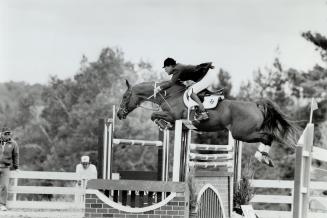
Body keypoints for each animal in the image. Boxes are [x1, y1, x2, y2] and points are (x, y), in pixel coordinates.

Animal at [117, 80, 300, 167]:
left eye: (125, 97)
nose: (119, 114)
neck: (169, 94)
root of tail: (255, 105)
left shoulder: (172, 116)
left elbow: (153, 115)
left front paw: (162, 124)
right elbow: (156, 117)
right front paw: (163, 125)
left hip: (242, 134)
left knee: (268, 137)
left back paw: (261, 157)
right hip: (244, 133)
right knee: (268, 137)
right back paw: (265, 158)